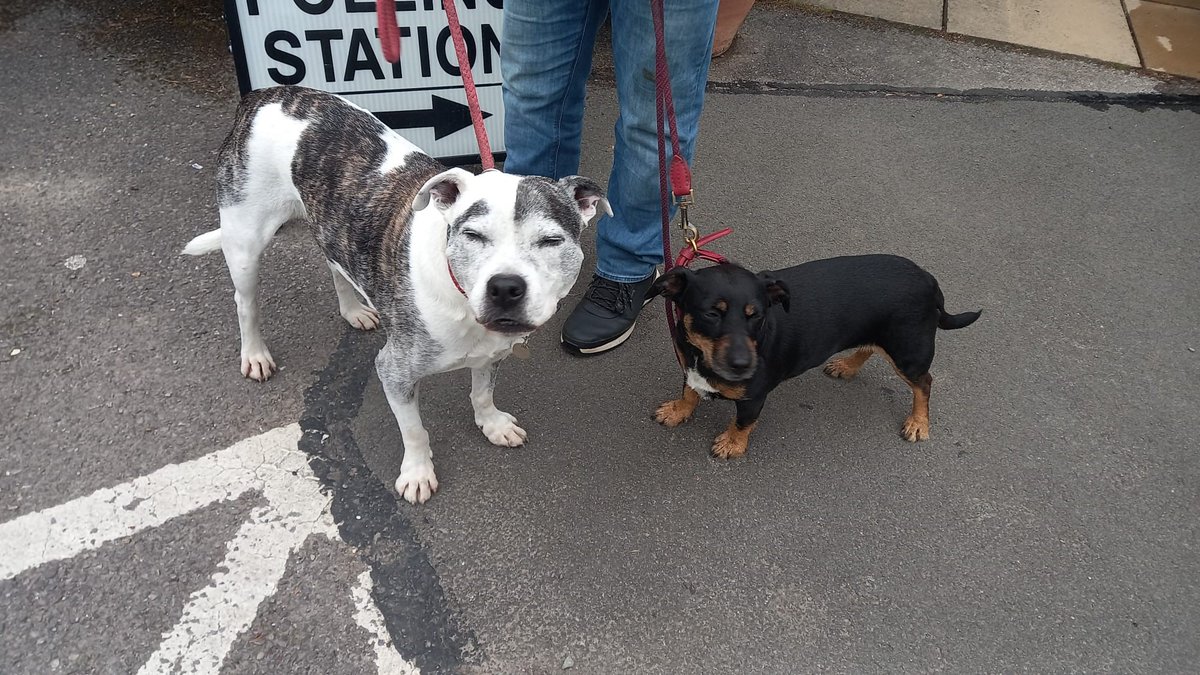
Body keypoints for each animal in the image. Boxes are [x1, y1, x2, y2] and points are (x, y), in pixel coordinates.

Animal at [183, 85, 609, 499]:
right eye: (473, 235)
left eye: (551, 241)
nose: (505, 287)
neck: (459, 297)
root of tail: (263, 95)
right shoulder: (394, 371)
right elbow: (414, 430)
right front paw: (418, 473)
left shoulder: (492, 352)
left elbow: (482, 393)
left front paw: (491, 424)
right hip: (245, 241)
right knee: (245, 302)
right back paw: (255, 354)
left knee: (334, 264)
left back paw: (354, 310)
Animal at [652, 253, 979, 456]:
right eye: (712, 313)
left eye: (756, 316)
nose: (743, 366)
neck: (701, 354)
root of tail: (928, 279)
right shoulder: (689, 369)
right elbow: (689, 392)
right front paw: (678, 410)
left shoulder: (754, 397)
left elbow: (743, 423)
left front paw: (732, 445)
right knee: (869, 347)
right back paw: (846, 366)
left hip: (907, 352)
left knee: (924, 383)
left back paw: (918, 423)